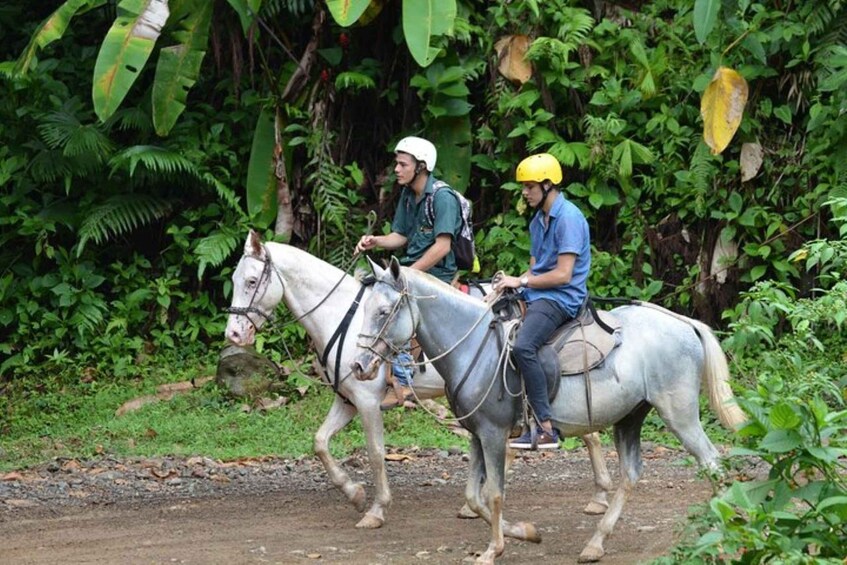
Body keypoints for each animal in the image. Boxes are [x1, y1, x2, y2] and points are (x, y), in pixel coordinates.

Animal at [352, 258, 748, 564]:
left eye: (384, 312)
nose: (358, 366)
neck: (474, 348)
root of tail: (685, 323)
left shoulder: (494, 434)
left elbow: (493, 492)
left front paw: (494, 549)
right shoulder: (478, 434)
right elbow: (474, 497)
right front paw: (523, 532)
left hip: (679, 415)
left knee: (712, 463)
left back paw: (723, 534)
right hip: (630, 417)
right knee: (632, 473)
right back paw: (595, 543)